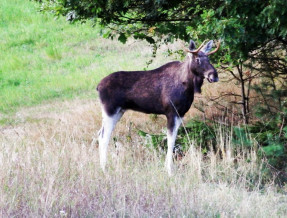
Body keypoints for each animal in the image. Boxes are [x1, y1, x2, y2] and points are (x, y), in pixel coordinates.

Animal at [97, 39, 220, 175]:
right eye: (197, 59)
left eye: (209, 58)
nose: (214, 75)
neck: (188, 85)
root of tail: (98, 87)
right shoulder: (171, 112)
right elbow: (170, 141)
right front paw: (169, 170)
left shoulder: (180, 114)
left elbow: (173, 139)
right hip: (110, 110)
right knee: (103, 137)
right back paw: (104, 168)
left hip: (118, 111)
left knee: (100, 134)